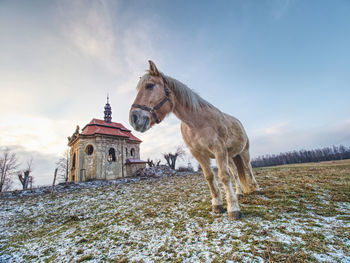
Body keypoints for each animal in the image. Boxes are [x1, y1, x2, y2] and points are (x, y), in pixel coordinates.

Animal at [129, 60, 260, 220]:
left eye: (149, 85)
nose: (134, 118)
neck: (197, 122)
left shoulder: (218, 150)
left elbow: (223, 177)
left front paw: (233, 209)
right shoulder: (199, 154)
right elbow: (209, 177)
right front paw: (217, 205)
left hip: (244, 152)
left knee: (248, 168)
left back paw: (256, 189)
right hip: (229, 156)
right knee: (235, 172)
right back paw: (239, 193)